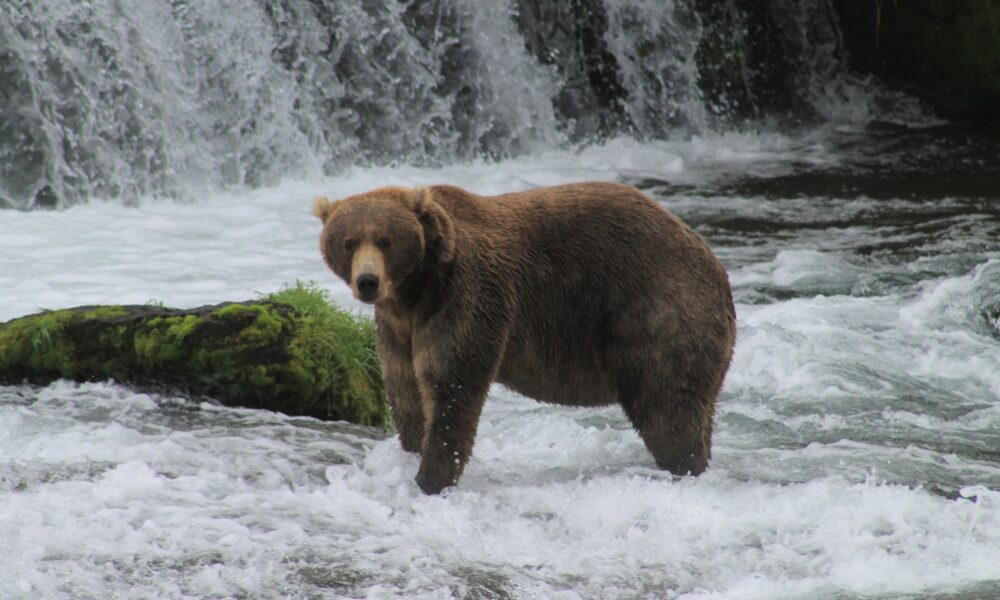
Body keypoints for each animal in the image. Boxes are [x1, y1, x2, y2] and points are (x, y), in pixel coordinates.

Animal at [312, 182, 736, 492]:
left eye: (385, 240)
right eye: (348, 241)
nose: (368, 281)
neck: (418, 288)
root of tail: (716, 265)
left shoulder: (466, 296)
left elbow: (451, 385)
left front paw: (430, 479)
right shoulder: (398, 327)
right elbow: (405, 390)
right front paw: (411, 455)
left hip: (659, 312)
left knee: (668, 408)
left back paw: (685, 465)